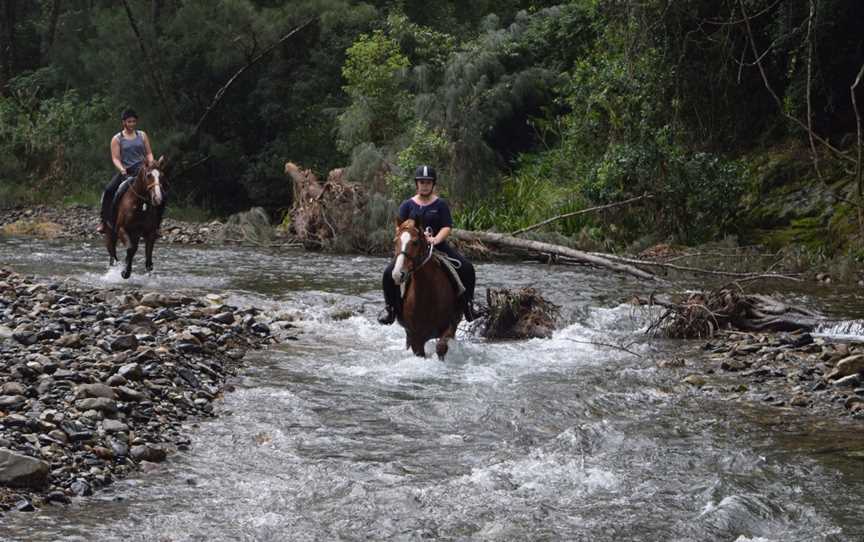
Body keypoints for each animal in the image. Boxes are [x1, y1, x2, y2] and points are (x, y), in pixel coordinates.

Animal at [388, 217, 462, 362]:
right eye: (395, 241)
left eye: (415, 242)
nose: (398, 274)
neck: (428, 296)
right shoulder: (416, 336)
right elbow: (419, 352)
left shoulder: (449, 326)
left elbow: (441, 347)